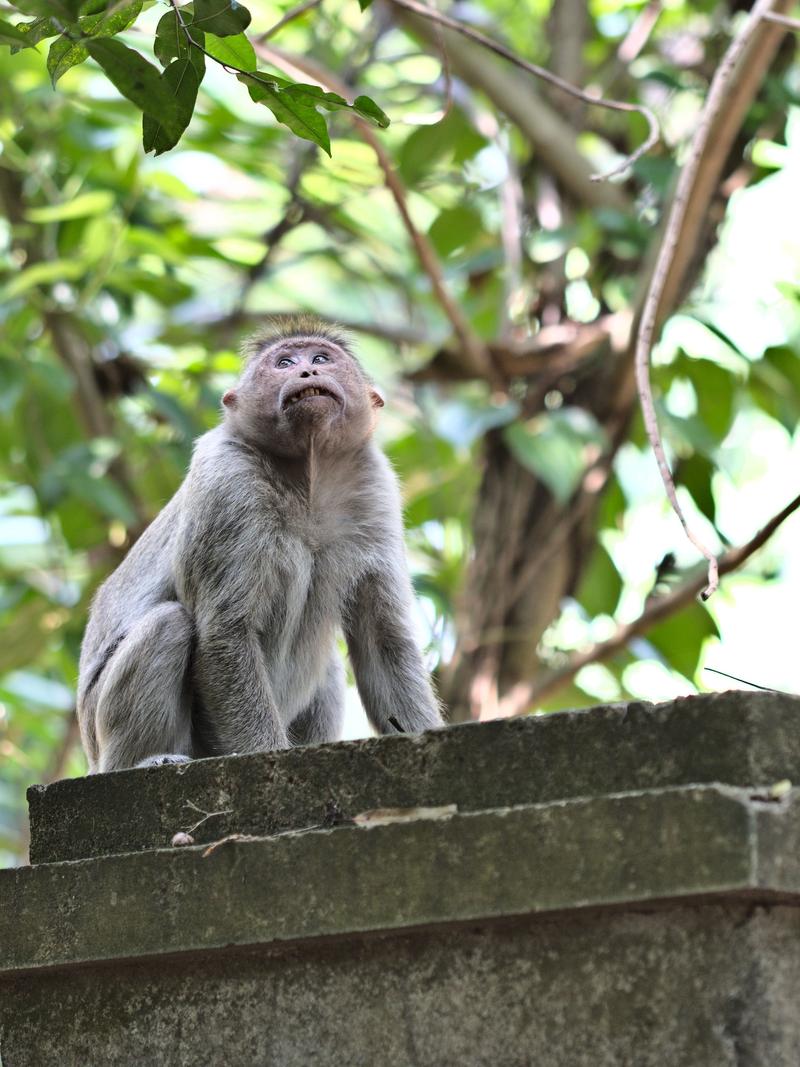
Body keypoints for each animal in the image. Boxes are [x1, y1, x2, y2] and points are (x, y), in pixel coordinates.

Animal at [78, 315, 445, 776]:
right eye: (284, 362)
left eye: (321, 358)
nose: (304, 371)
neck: (308, 476)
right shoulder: (227, 481)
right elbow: (225, 631)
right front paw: (267, 755)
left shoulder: (375, 487)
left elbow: (382, 636)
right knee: (169, 626)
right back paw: (145, 760)